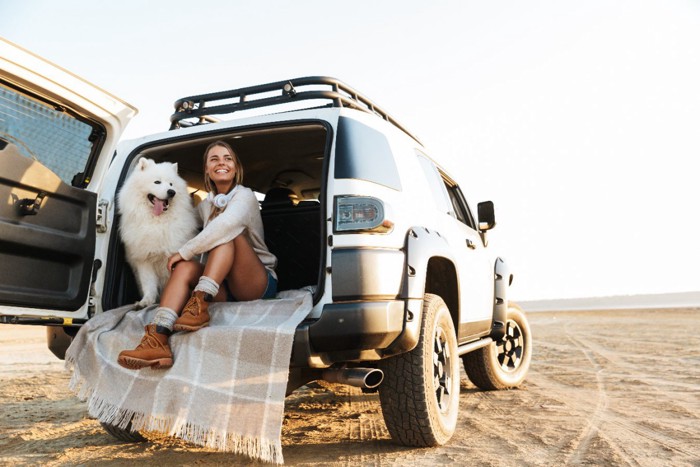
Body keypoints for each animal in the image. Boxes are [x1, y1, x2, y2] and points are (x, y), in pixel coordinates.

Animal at [117, 159, 198, 308]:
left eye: (171, 184)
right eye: (157, 182)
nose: (171, 192)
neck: (157, 222)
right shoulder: (144, 260)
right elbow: (149, 285)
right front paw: (146, 301)